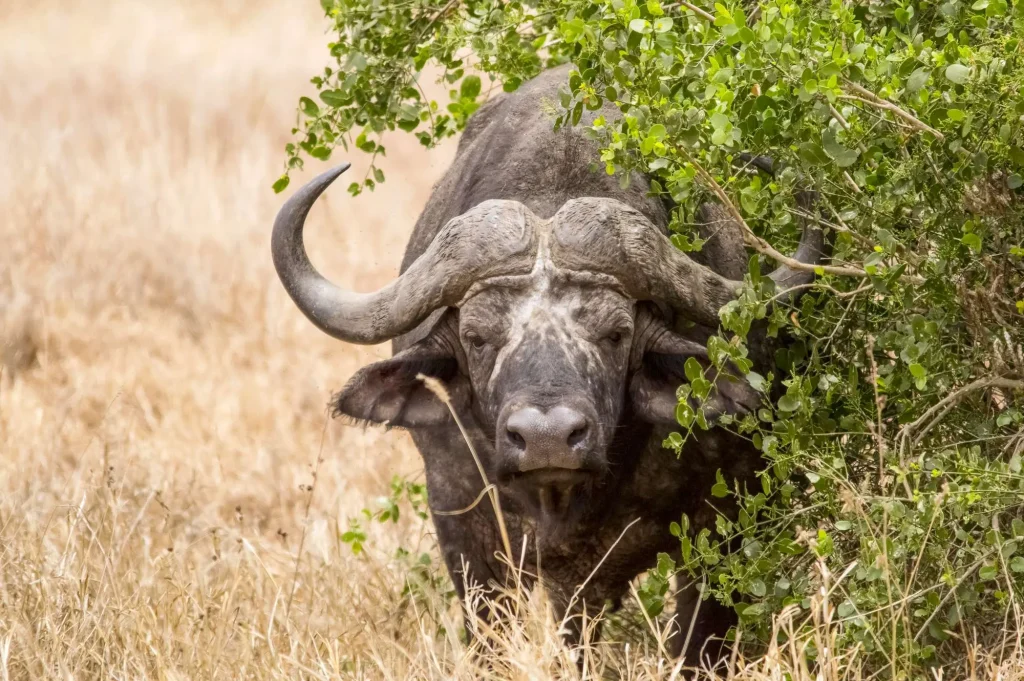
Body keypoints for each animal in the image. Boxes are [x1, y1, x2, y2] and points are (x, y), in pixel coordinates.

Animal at [272, 65, 825, 665]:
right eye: (477, 337)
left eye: (616, 333)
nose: (547, 439)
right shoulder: (461, 522)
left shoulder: (720, 522)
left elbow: (698, 641)